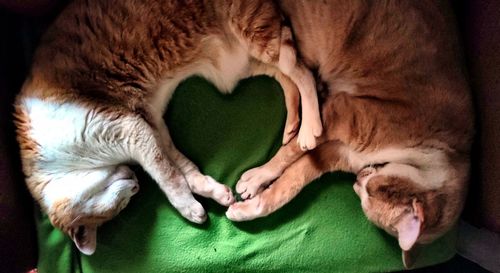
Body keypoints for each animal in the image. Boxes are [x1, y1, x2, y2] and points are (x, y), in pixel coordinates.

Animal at [14, 0, 324, 254]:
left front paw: (189, 208)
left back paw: (310, 127)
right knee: (285, 78)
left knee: (302, 72)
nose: (136, 183)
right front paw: (211, 192)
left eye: (120, 204)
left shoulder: (130, 129)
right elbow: (184, 169)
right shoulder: (150, 125)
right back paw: (292, 125)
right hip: (244, 64)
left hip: (254, 32)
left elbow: (169, 178)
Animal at [227, 0, 472, 266]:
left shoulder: (332, 154)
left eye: (364, 194)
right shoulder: (340, 114)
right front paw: (257, 177)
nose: (357, 181)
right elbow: (288, 153)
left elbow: (288, 185)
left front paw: (249, 207)